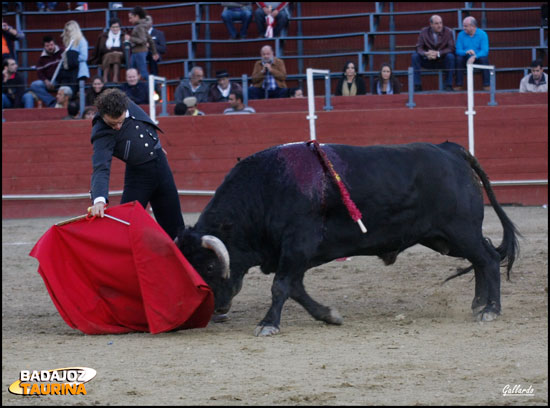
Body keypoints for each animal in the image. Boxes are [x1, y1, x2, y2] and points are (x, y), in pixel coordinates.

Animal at [177, 142, 520, 336]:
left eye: (210, 268)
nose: (217, 308)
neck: (266, 189)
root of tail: (451, 150)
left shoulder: (297, 245)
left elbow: (280, 286)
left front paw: (268, 324)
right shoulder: (295, 256)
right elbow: (296, 289)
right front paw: (329, 316)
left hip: (460, 230)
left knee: (488, 259)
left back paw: (490, 310)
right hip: (445, 238)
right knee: (481, 259)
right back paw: (478, 305)